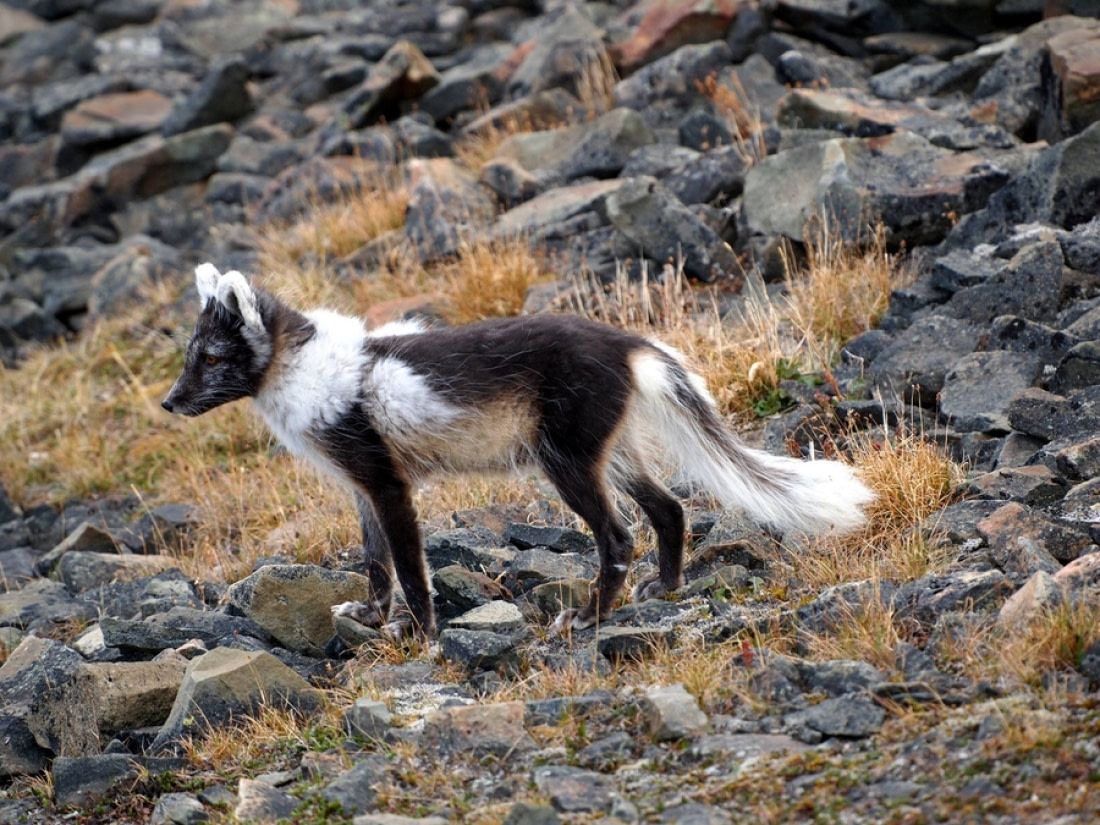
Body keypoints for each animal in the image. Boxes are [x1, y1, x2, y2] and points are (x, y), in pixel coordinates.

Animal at [162, 265, 871, 638]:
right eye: (189, 355)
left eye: (212, 358)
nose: (169, 403)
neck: (307, 371)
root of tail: (629, 344)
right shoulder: (359, 484)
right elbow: (374, 562)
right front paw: (368, 614)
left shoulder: (386, 482)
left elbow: (410, 566)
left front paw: (422, 634)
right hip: (611, 451)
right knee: (669, 509)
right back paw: (663, 589)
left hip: (566, 460)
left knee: (619, 535)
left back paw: (588, 617)